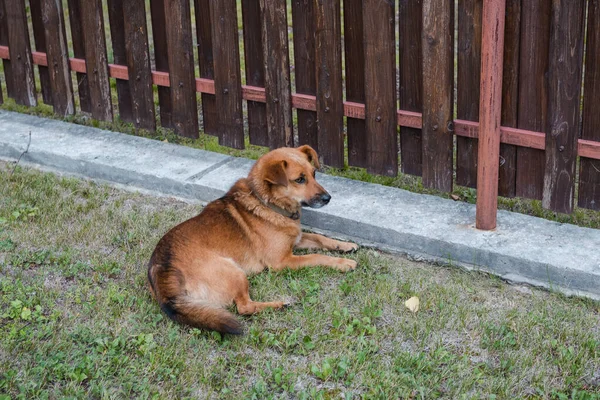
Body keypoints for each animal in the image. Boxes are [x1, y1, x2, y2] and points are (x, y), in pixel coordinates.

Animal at [148, 145, 358, 332]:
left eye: (314, 174)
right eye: (299, 179)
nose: (328, 198)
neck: (268, 203)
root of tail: (162, 268)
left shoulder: (296, 239)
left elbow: (320, 238)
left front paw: (345, 245)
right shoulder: (282, 261)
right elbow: (316, 256)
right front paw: (343, 263)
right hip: (234, 272)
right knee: (244, 307)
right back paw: (278, 305)